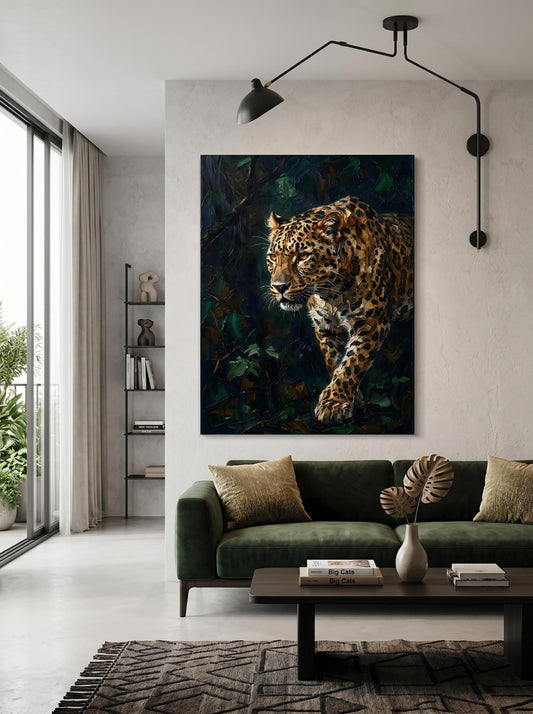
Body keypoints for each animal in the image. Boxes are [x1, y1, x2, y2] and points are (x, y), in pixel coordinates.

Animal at [266, 195, 413, 424]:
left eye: (303, 256)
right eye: (273, 257)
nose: (279, 287)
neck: (331, 294)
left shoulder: (371, 323)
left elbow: (352, 363)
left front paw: (333, 403)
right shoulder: (325, 327)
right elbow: (335, 361)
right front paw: (352, 400)